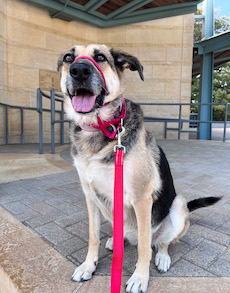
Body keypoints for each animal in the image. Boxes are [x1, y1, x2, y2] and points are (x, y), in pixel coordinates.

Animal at [57, 44, 221, 290]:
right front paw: (88, 266)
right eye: (69, 57)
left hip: (177, 207)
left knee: (160, 242)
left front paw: (140, 278)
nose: (79, 71)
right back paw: (116, 240)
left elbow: (145, 246)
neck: (101, 131)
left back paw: (162, 257)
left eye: (100, 57)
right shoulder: (90, 195)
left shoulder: (142, 199)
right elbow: (92, 236)